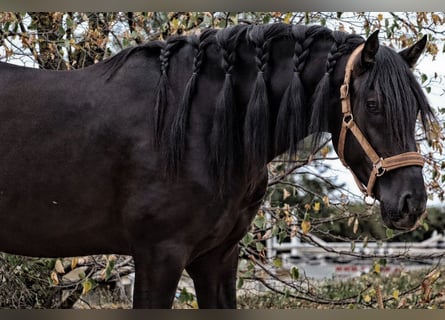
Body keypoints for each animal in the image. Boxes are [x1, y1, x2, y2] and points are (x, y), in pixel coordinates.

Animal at [0, 22, 434, 308]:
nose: (411, 203)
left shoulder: (217, 259)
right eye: (374, 105)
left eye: (415, 109)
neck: (196, 125)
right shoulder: (159, 256)